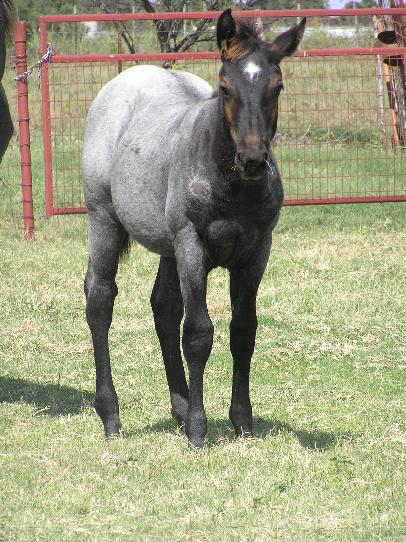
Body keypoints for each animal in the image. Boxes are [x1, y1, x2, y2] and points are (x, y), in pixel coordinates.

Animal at [83, 9, 304, 450]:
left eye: (278, 86)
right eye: (225, 87)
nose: (253, 159)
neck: (230, 184)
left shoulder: (256, 252)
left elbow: (244, 332)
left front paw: (242, 423)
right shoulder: (192, 244)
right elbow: (199, 333)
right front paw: (199, 431)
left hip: (168, 245)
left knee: (164, 307)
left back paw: (181, 408)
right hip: (104, 219)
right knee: (99, 299)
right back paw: (111, 415)